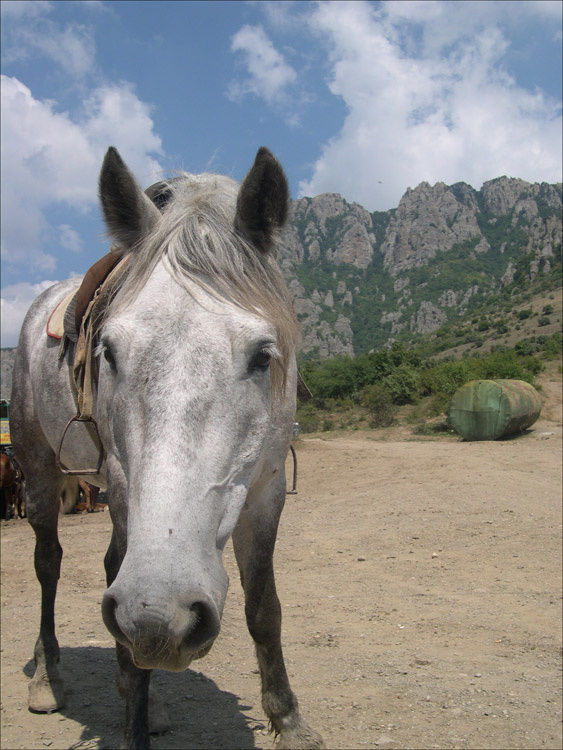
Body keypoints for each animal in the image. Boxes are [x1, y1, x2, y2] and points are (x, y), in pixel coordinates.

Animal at [10, 146, 324, 750]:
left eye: (262, 355)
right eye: (108, 350)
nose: (160, 621)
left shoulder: (267, 490)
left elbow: (264, 608)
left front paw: (290, 720)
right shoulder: (122, 484)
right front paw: (134, 721)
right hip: (40, 472)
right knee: (49, 564)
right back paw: (48, 678)